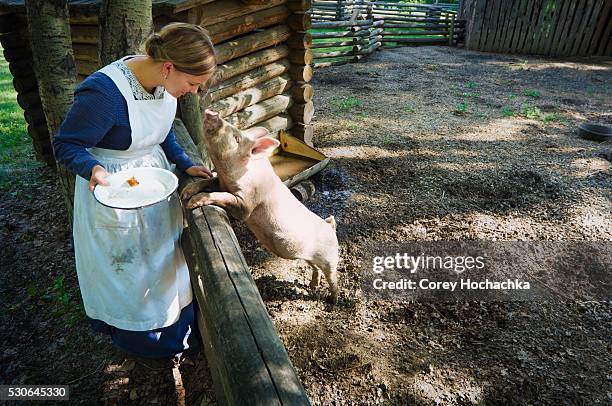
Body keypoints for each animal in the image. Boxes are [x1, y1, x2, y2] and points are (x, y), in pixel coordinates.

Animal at [179, 110, 342, 302]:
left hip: (330, 259)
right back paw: (312, 286)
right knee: (315, 268)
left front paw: (192, 203)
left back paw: (334, 301)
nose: (212, 113)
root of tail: (330, 227)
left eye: (236, 138)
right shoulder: (220, 182)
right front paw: (186, 193)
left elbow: (226, 198)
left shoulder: (246, 203)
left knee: (332, 278)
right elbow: (207, 181)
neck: (230, 177)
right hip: (308, 257)